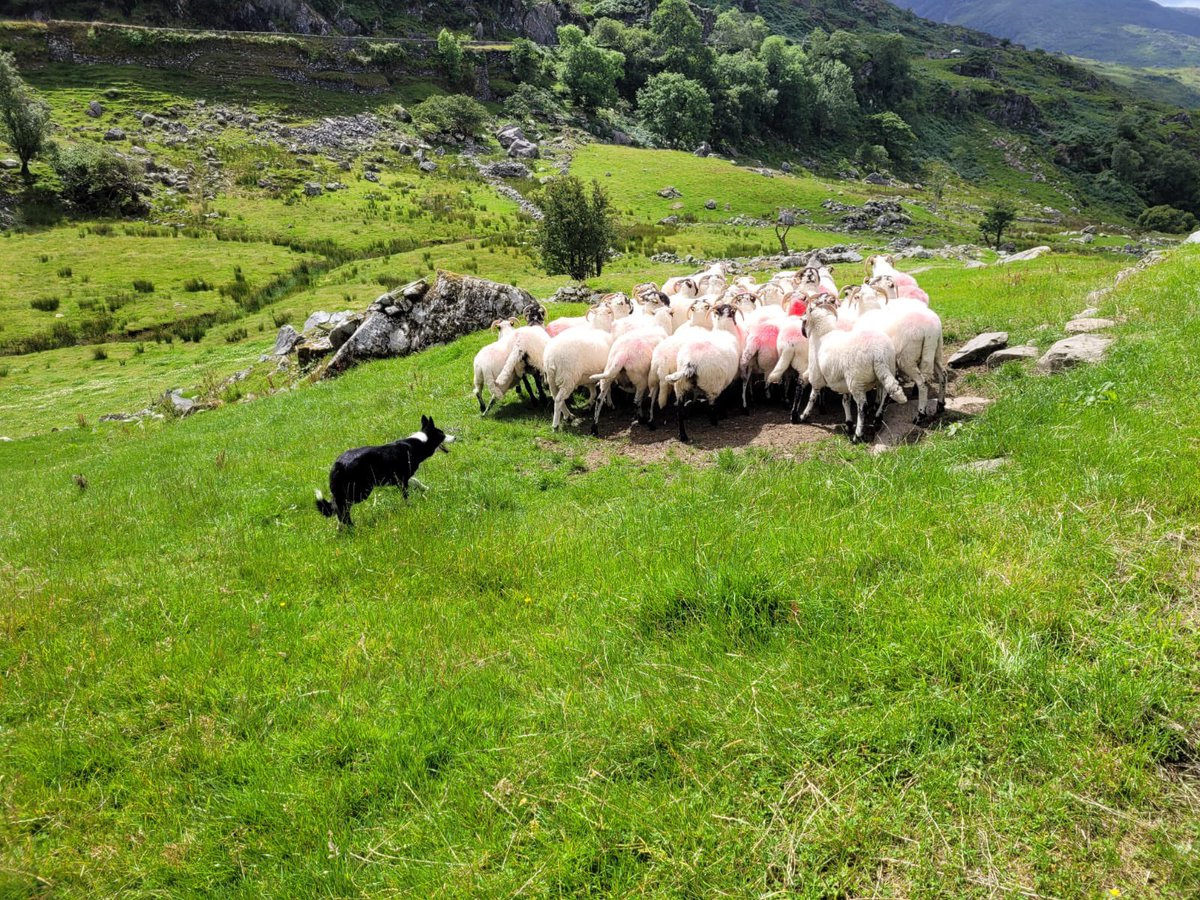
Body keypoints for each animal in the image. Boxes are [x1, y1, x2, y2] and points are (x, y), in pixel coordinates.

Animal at [543, 304, 617, 433]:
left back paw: (568, 415)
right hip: (568, 377)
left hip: (551, 378)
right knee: (559, 399)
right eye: (609, 312)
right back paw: (556, 425)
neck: (600, 327)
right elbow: (608, 390)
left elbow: (593, 392)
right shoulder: (607, 371)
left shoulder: (589, 376)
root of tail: (550, 358)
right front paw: (610, 403)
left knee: (555, 396)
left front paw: (588, 405)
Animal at [666, 303, 743, 442]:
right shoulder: (728, 379)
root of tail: (690, 362)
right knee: (711, 405)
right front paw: (723, 414)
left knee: (679, 412)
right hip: (712, 384)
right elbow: (723, 398)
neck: (725, 330)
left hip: (680, 386)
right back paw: (714, 422)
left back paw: (683, 436)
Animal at [798, 300, 907, 443]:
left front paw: (804, 415)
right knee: (885, 396)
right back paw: (877, 421)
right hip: (885, 371)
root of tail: (878, 353)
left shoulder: (816, 375)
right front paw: (848, 423)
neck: (822, 335)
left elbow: (812, 397)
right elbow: (845, 401)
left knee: (862, 406)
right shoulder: (842, 380)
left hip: (856, 381)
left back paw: (858, 436)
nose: (802, 332)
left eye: (804, 315)